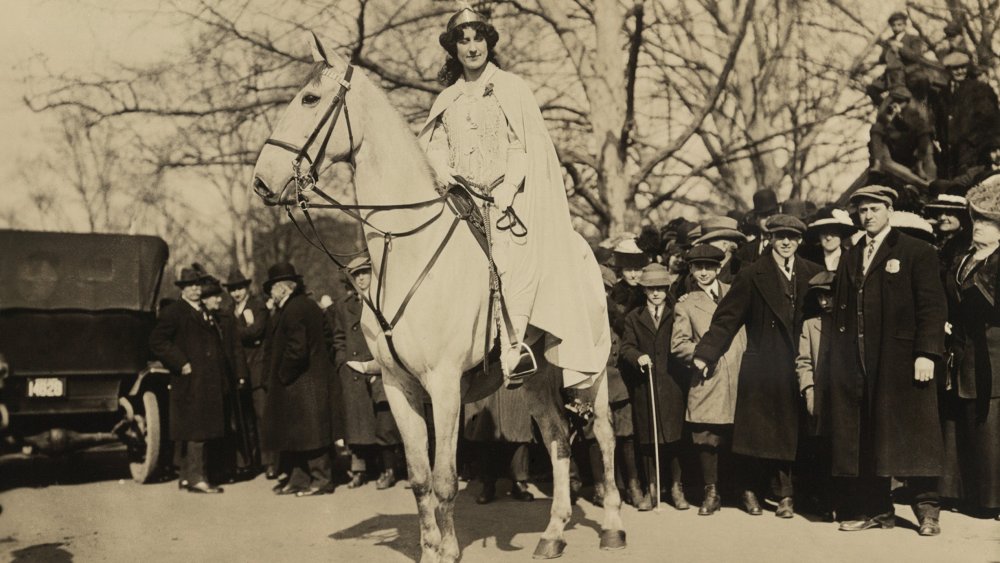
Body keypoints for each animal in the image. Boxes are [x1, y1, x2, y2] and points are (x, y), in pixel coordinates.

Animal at [250, 36, 624, 563]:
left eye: (309, 99)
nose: (262, 181)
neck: (407, 247)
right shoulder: (398, 385)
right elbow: (420, 479)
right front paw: (431, 549)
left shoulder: (445, 385)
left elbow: (446, 480)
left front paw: (448, 550)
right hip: (535, 375)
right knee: (556, 438)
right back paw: (552, 533)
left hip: (589, 365)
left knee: (603, 433)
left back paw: (612, 525)